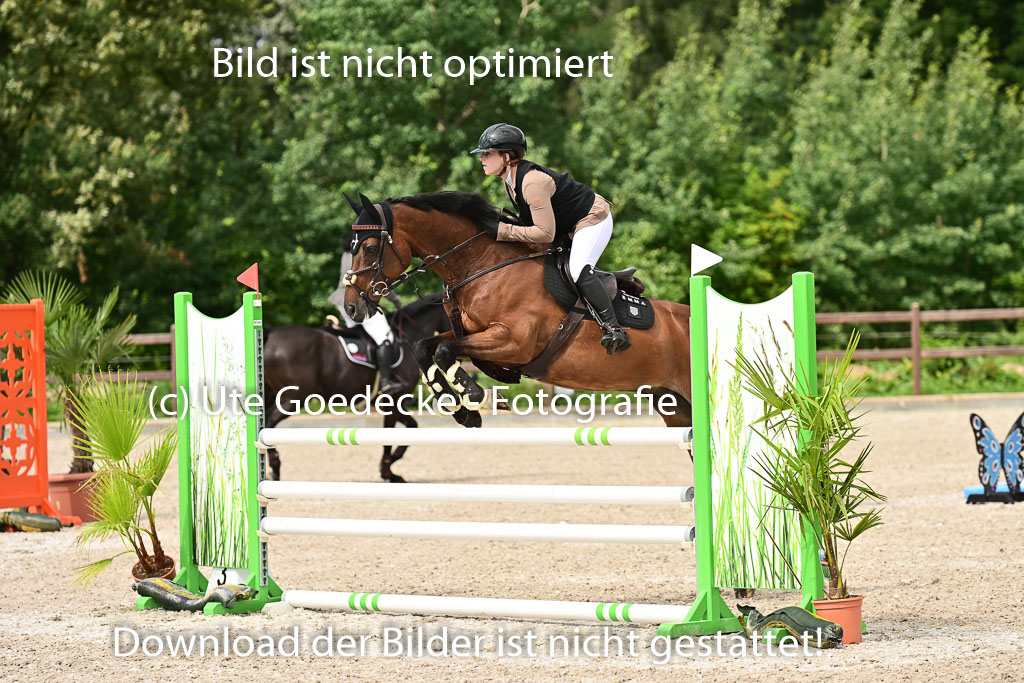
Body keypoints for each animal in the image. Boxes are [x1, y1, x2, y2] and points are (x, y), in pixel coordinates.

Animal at [262, 294, 450, 482]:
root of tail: (270, 336)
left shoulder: (394, 403)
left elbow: (412, 426)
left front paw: (389, 466)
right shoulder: (394, 400)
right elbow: (392, 433)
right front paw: (388, 472)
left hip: (271, 395)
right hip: (295, 397)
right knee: (268, 422)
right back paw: (275, 466)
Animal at [340, 191, 692, 430]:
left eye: (369, 248)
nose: (352, 306)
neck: (483, 266)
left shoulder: (514, 342)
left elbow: (443, 350)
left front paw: (476, 395)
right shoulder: (473, 334)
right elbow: (425, 348)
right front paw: (462, 410)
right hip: (672, 404)